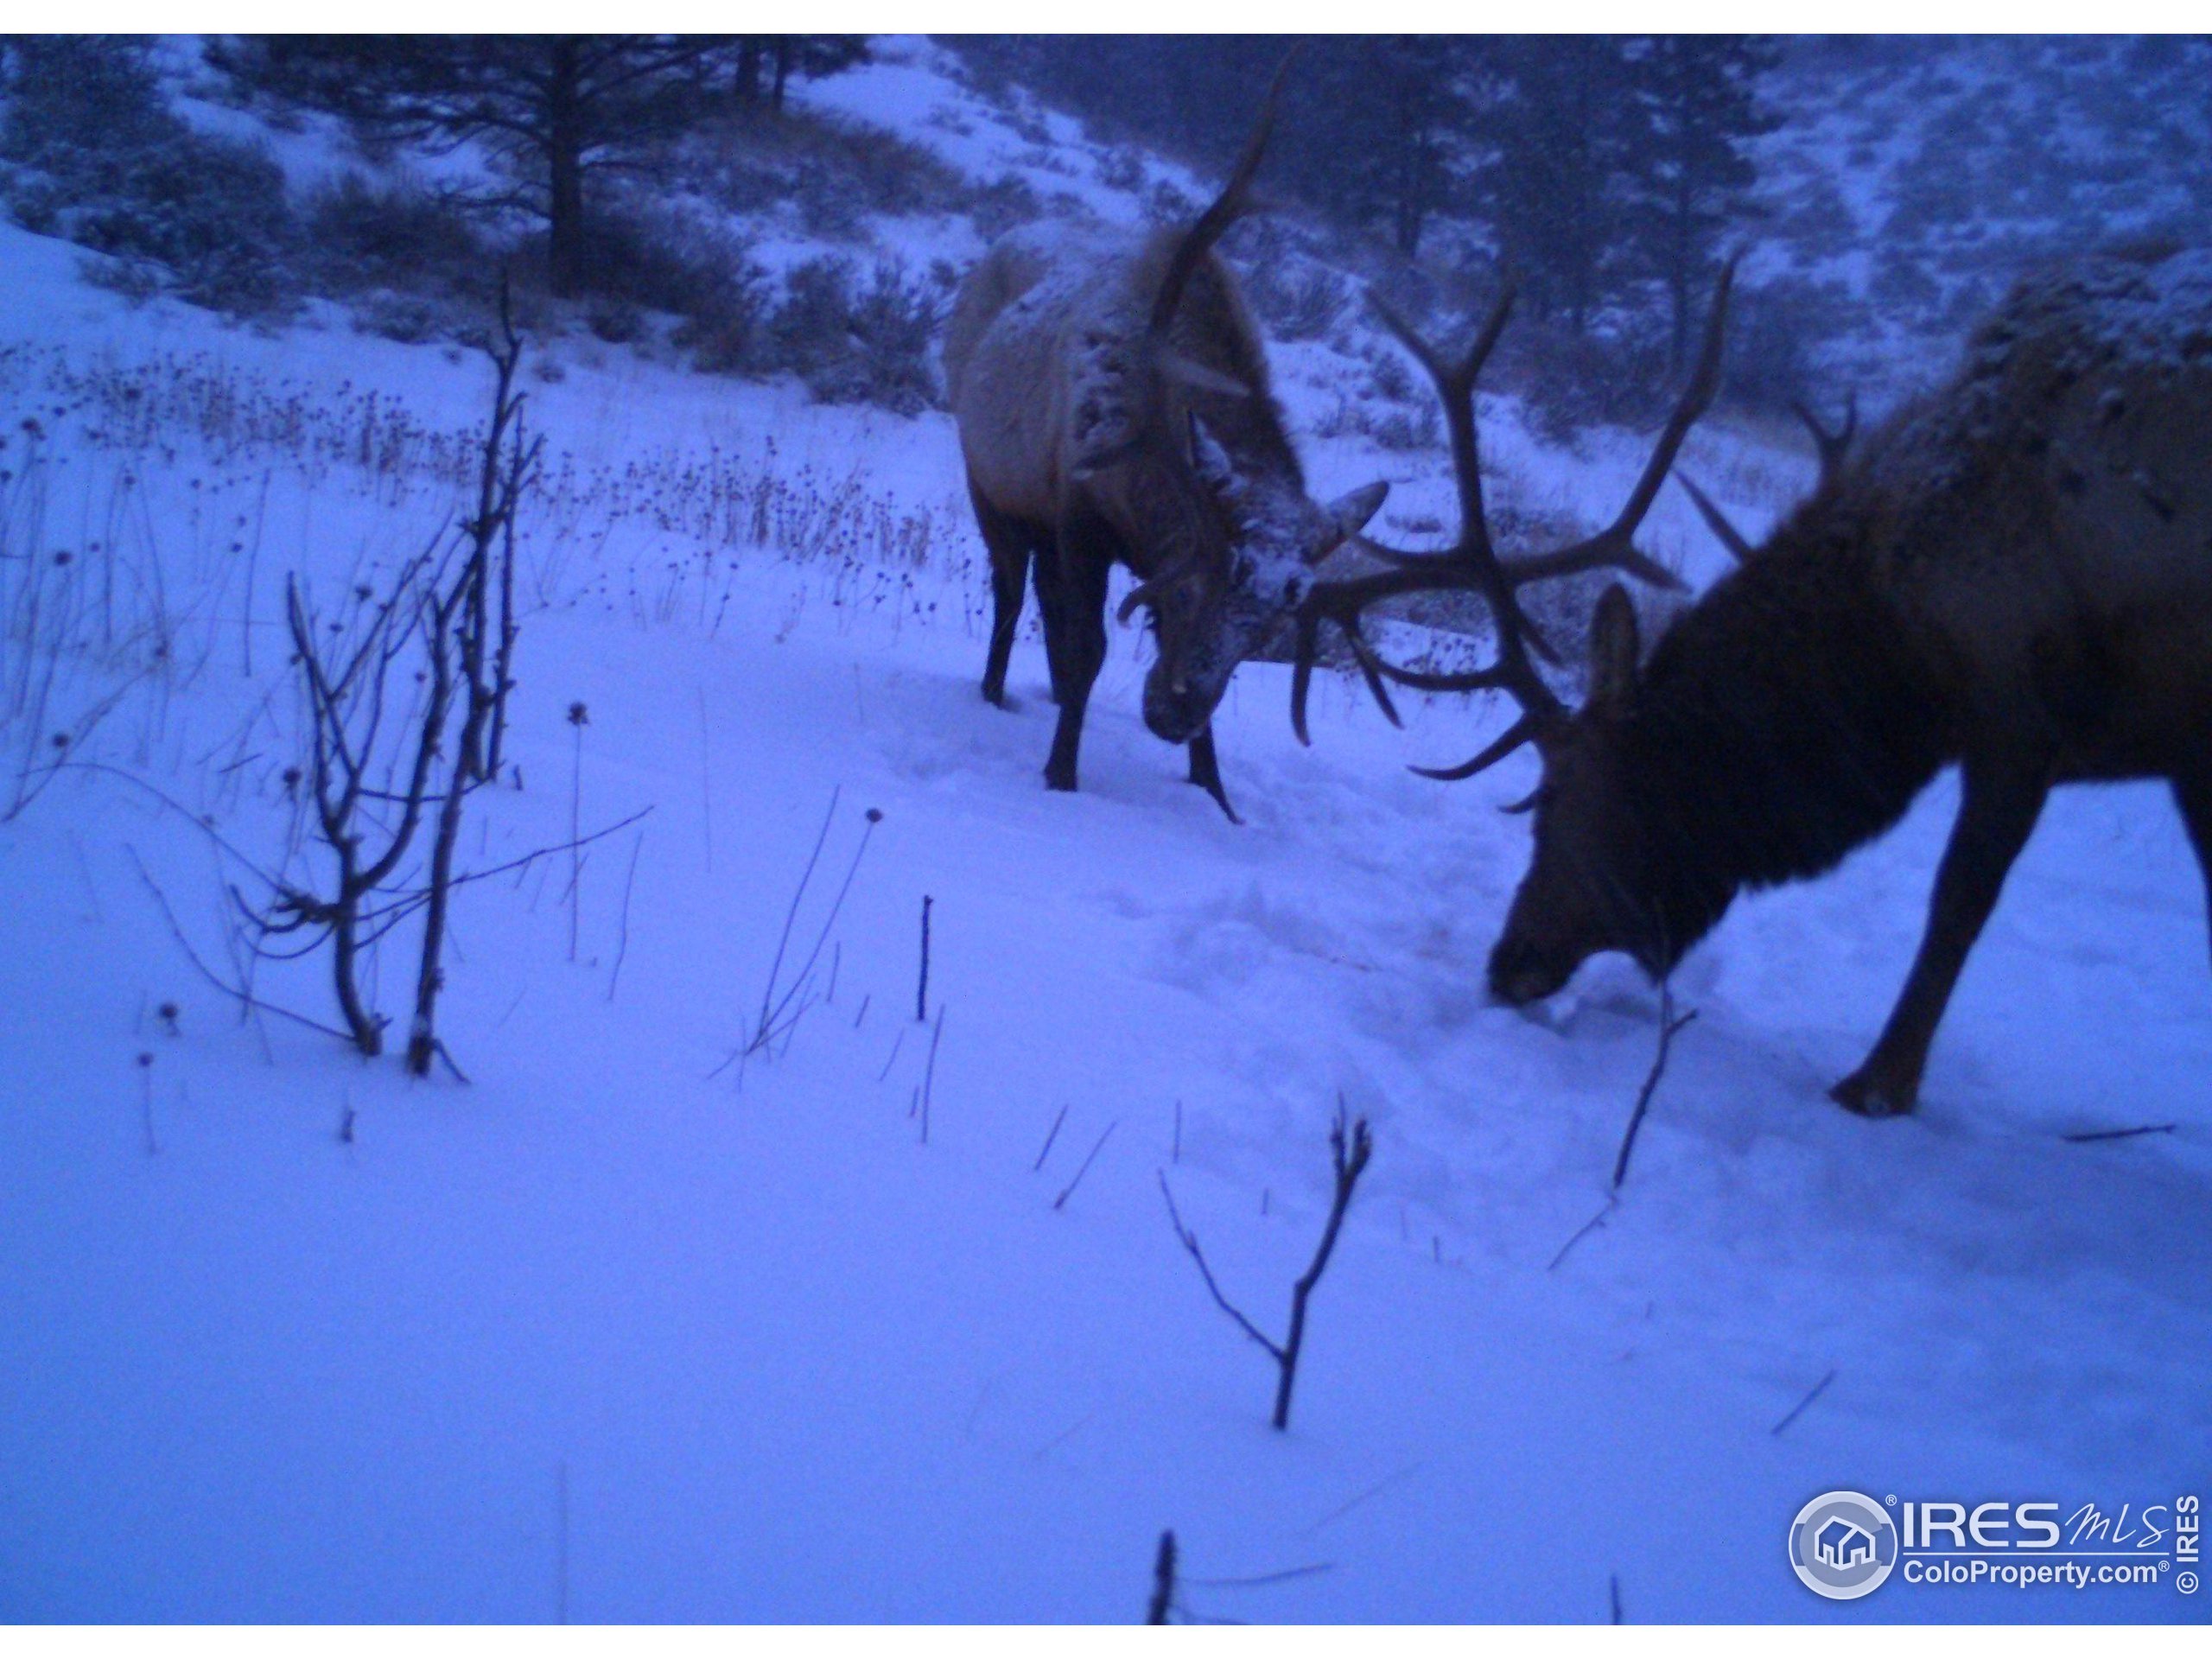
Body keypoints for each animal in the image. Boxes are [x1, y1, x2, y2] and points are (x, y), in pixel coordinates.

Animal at [941, 61, 1388, 823]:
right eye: (1188, 595)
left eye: (1270, 628)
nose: (1175, 713)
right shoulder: (1080, 515)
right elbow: (1089, 648)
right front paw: (1061, 774)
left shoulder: (1119, 539)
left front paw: (1215, 794)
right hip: (992, 483)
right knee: (1010, 594)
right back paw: (995, 693)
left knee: (1045, 604)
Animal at [1293, 244, 2212, 1117]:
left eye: (1551, 799)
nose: (1505, 960)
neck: (1905, 651)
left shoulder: (2016, 706)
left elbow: (1959, 900)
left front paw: (1877, 1086)